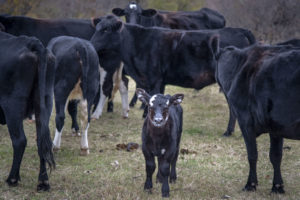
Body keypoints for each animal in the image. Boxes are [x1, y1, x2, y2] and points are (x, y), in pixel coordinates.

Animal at [0, 31, 55, 191]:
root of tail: (32, 42)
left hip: (12, 104)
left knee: (20, 141)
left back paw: (12, 179)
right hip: (45, 101)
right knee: (41, 141)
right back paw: (43, 182)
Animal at [91, 16, 255, 136]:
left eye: (106, 30)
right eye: (97, 28)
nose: (91, 43)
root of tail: (239, 30)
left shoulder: (154, 78)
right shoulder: (159, 81)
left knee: (233, 108)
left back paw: (229, 131)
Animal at [216, 44, 300, 194]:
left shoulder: (245, 120)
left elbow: (252, 155)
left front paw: (251, 184)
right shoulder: (276, 126)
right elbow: (276, 156)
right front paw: (277, 187)